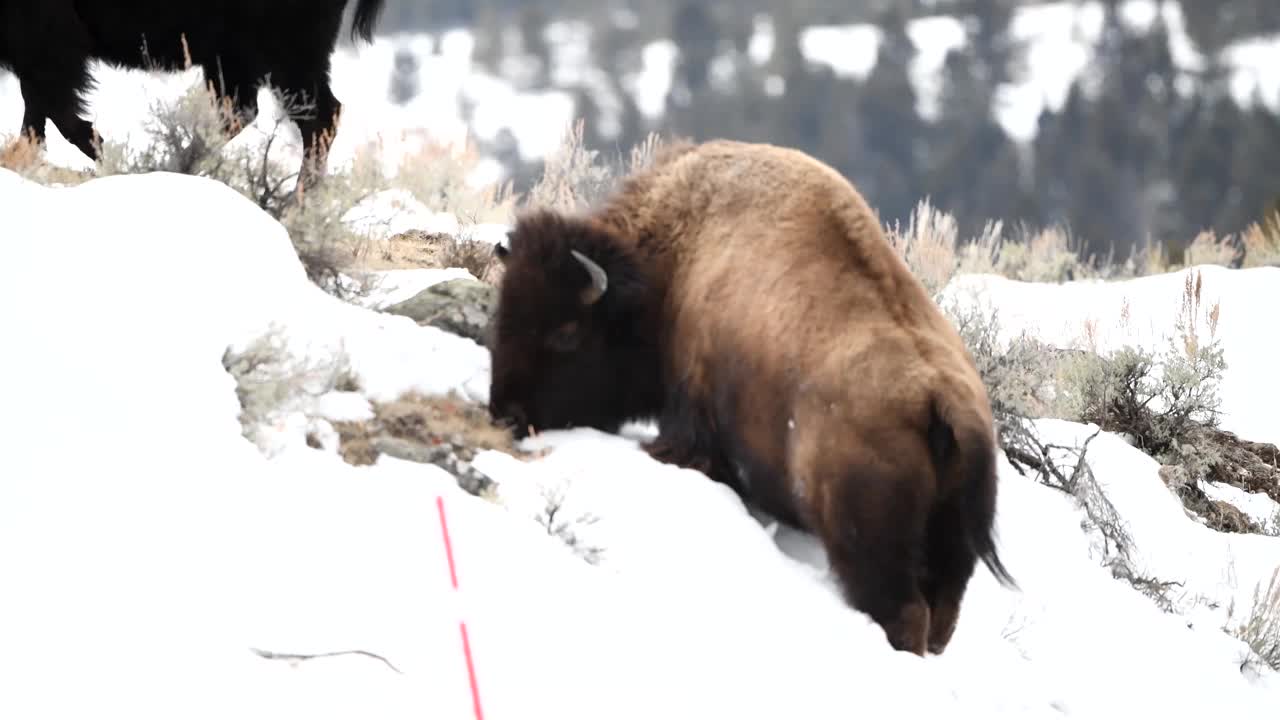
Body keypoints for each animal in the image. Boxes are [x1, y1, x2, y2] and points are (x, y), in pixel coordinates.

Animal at [0, 0, 384, 178]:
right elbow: (38, 107)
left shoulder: (47, 43)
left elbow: (54, 108)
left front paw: (107, 155)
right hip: (235, 60)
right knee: (245, 111)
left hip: (285, 58)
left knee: (317, 117)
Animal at [488, 137, 1018, 653]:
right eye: (503, 314)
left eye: (567, 332)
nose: (505, 412)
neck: (675, 261)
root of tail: (941, 400)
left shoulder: (691, 426)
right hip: (951, 555)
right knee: (940, 622)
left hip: (869, 546)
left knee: (903, 613)